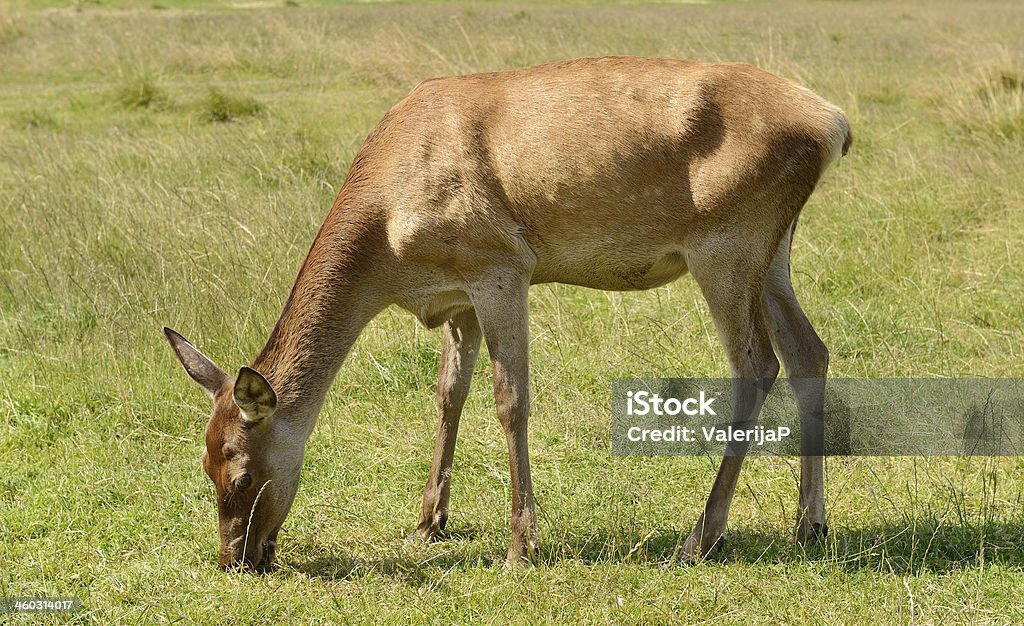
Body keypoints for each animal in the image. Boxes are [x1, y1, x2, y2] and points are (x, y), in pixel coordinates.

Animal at [163, 56, 851, 569]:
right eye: (204, 462)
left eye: (240, 472)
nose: (237, 559)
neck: (389, 241)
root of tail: (834, 124)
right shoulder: (457, 297)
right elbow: (449, 394)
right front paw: (427, 522)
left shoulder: (501, 265)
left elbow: (510, 398)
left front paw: (524, 543)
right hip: (773, 252)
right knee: (809, 350)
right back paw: (808, 525)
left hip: (726, 246)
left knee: (757, 363)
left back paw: (700, 537)